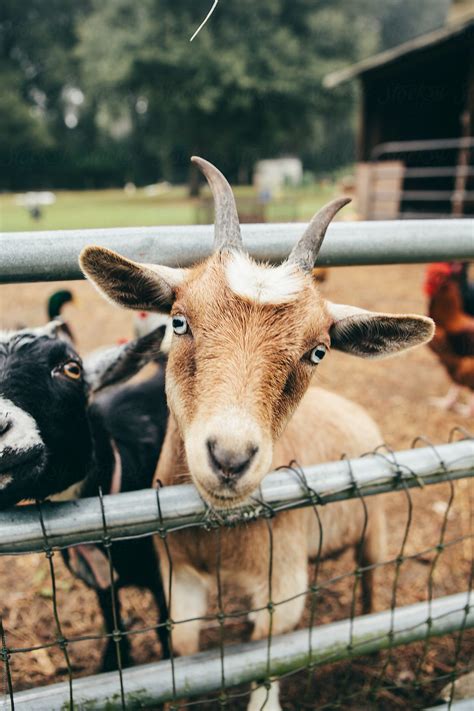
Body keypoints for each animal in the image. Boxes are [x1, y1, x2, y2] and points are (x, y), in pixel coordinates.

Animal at [80, 159, 434, 708]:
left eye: (318, 351)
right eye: (178, 321)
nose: (229, 458)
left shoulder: (284, 586)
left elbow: (267, 664)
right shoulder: (180, 578)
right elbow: (182, 647)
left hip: (375, 526)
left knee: (372, 577)